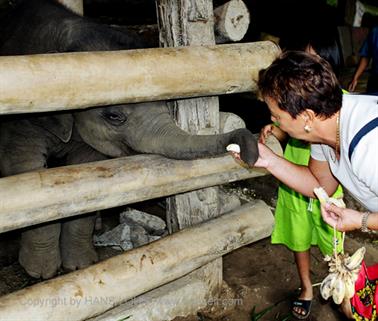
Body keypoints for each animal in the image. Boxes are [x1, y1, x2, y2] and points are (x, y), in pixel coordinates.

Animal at [0, 0, 258, 278]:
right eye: (114, 115)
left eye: (169, 102)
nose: (249, 151)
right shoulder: (22, 122)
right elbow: (28, 172)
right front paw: (41, 273)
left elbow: (83, 177)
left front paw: (80, 265)